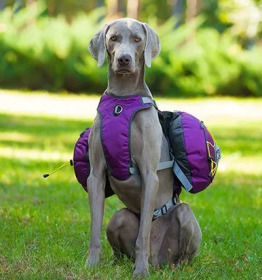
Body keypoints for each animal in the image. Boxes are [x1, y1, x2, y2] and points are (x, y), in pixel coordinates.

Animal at [87, 18, 202, 278]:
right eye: (113, 38)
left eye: (137, 39)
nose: (124, 59)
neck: (122, 99)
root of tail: (158, 260)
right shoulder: (95, 175)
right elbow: (95, 228)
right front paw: (91, 264)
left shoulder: (150, 175)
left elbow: (144, 235)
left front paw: (140, 271)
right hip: (118, 218)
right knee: (118, 238)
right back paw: (117, 263)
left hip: (184, 217)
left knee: (181, 252)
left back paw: (166, 266)